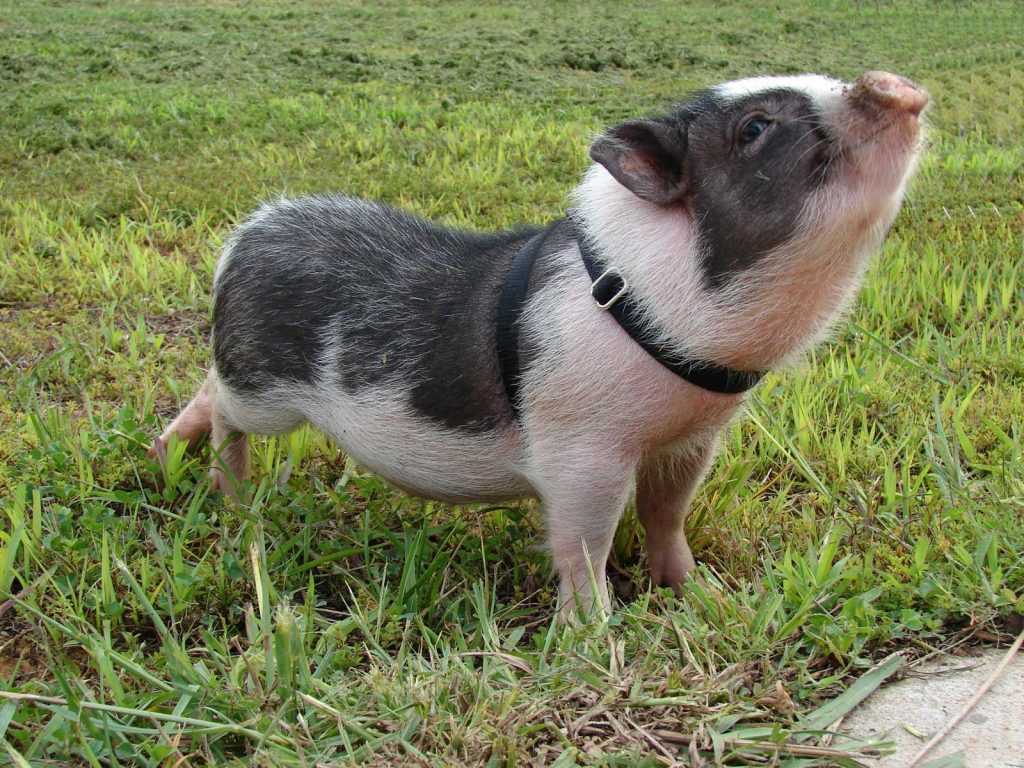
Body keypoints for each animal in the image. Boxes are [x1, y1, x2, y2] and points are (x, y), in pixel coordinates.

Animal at [152, 71, 928, 619]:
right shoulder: (585, 448)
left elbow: (667, 515)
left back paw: (170, 461)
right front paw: (599, 635)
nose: (893, 84)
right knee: (223, 415)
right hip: (265, 393)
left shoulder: (692, 439)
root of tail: (247, 234)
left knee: (205, 391)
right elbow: (584, 542)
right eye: (756, 127)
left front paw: (704, 596)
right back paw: (231, 497)